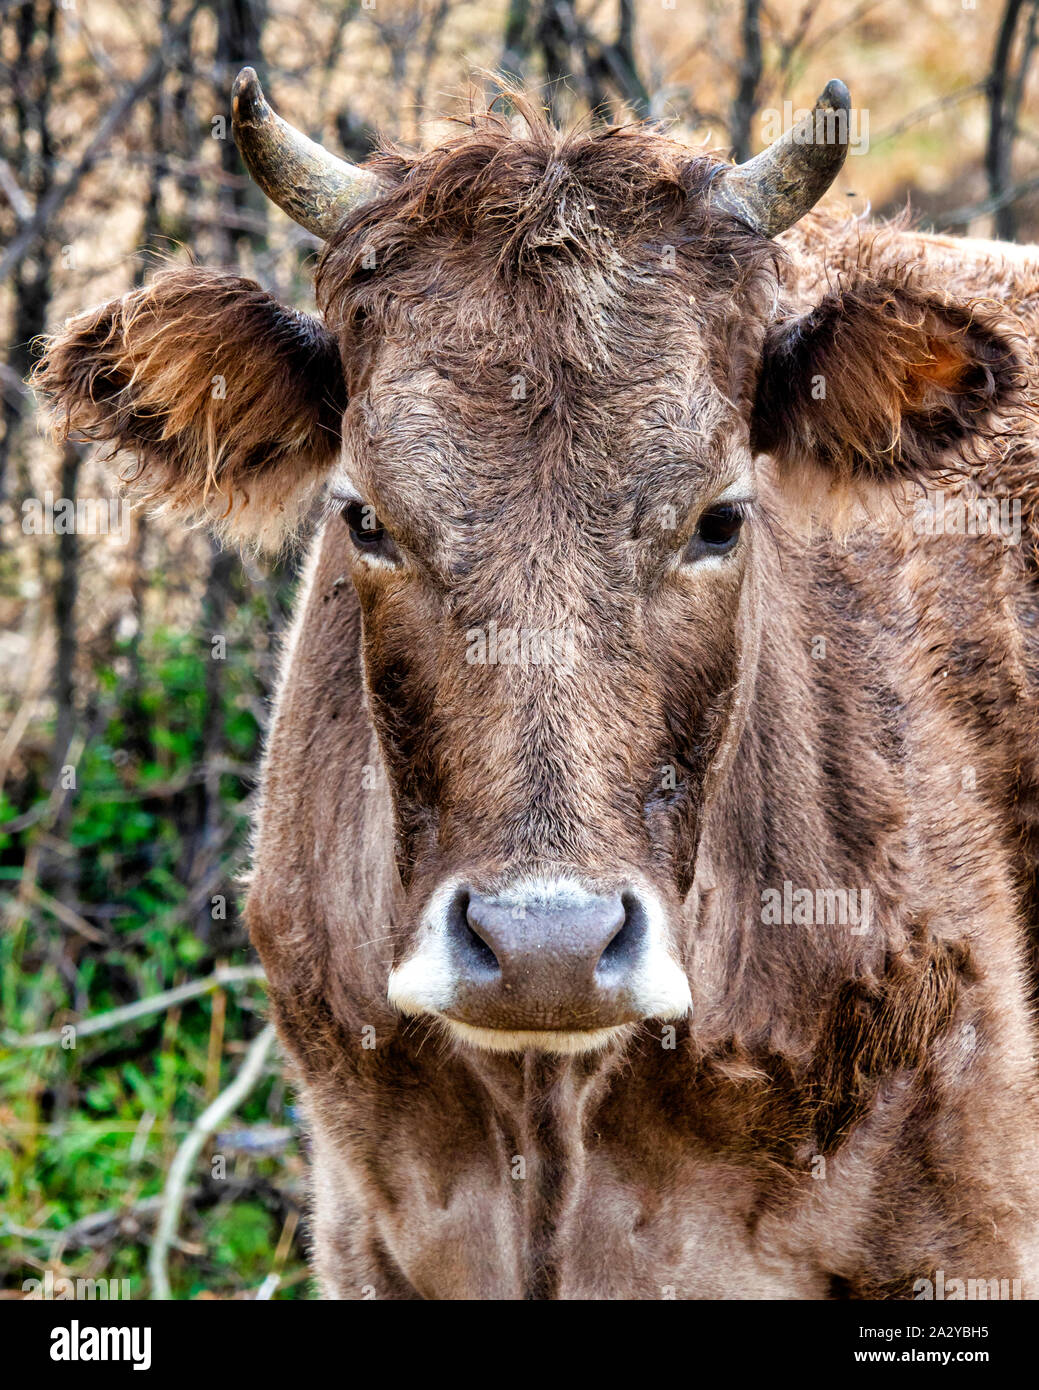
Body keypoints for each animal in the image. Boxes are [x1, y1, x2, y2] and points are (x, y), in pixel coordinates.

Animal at [32, 73, 1039, 1289]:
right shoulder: (363, 1231)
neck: (548, 1116)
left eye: (718, 517)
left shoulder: (974, 1227)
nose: (544, 950)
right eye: (366, 518)